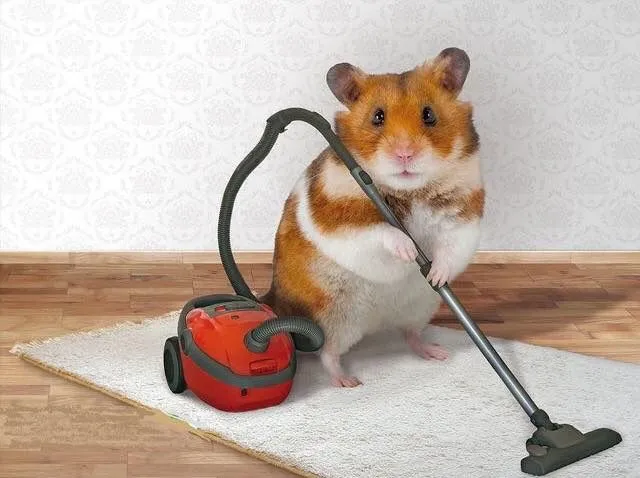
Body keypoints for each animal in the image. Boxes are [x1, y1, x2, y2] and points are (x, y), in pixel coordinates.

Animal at [260, 47, 484, 387]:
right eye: (377, 116)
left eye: (429, 114)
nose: (405, 154)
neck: (410, 191)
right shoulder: (340, 221)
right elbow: (380, 232)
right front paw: (409, 250)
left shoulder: (463, 217)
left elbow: (449, 248)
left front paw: (435, 275)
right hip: (335, 318)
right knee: (328, 354)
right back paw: (348, 382)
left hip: (420, 307)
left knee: (409, 334)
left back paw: (436, 352)